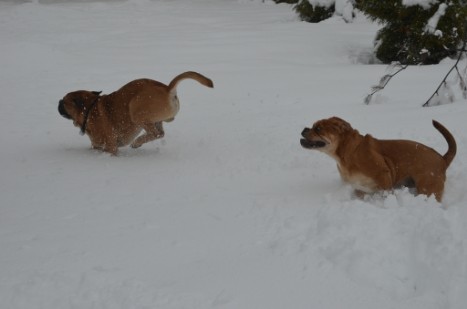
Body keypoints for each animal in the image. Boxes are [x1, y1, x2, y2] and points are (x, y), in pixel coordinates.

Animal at [57, 71, 216, 154]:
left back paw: (136, 142)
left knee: (155, 133)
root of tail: (167, 88)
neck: (89, 109)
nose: (58, 102)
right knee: (160, 133)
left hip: (136, 110)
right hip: (155, 119)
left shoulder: (110, 147)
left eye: (64, 101)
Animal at [300, 116, 458, 201]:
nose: (304, 129)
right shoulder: (358, 187)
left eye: (318, 128)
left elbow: (386, 193)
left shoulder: (383, 175)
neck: (348, 152)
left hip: (427, 188)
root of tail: (442, 159)